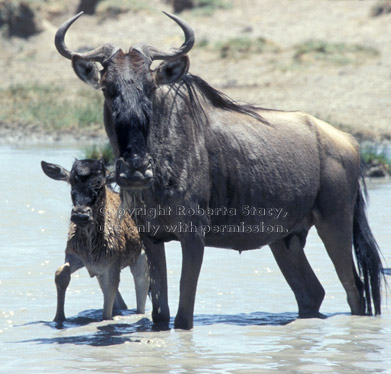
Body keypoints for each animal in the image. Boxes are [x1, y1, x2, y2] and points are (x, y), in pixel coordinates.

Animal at [41, 159, 149, 322]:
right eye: (72, 182)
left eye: (100, 183)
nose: (80, 215)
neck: (91, 247)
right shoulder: (76, 255)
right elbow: (61, 273)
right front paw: (58, 318)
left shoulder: (113, 263)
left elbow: (107, 309)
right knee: (121, 302)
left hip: (141, 256)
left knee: (141, 293)